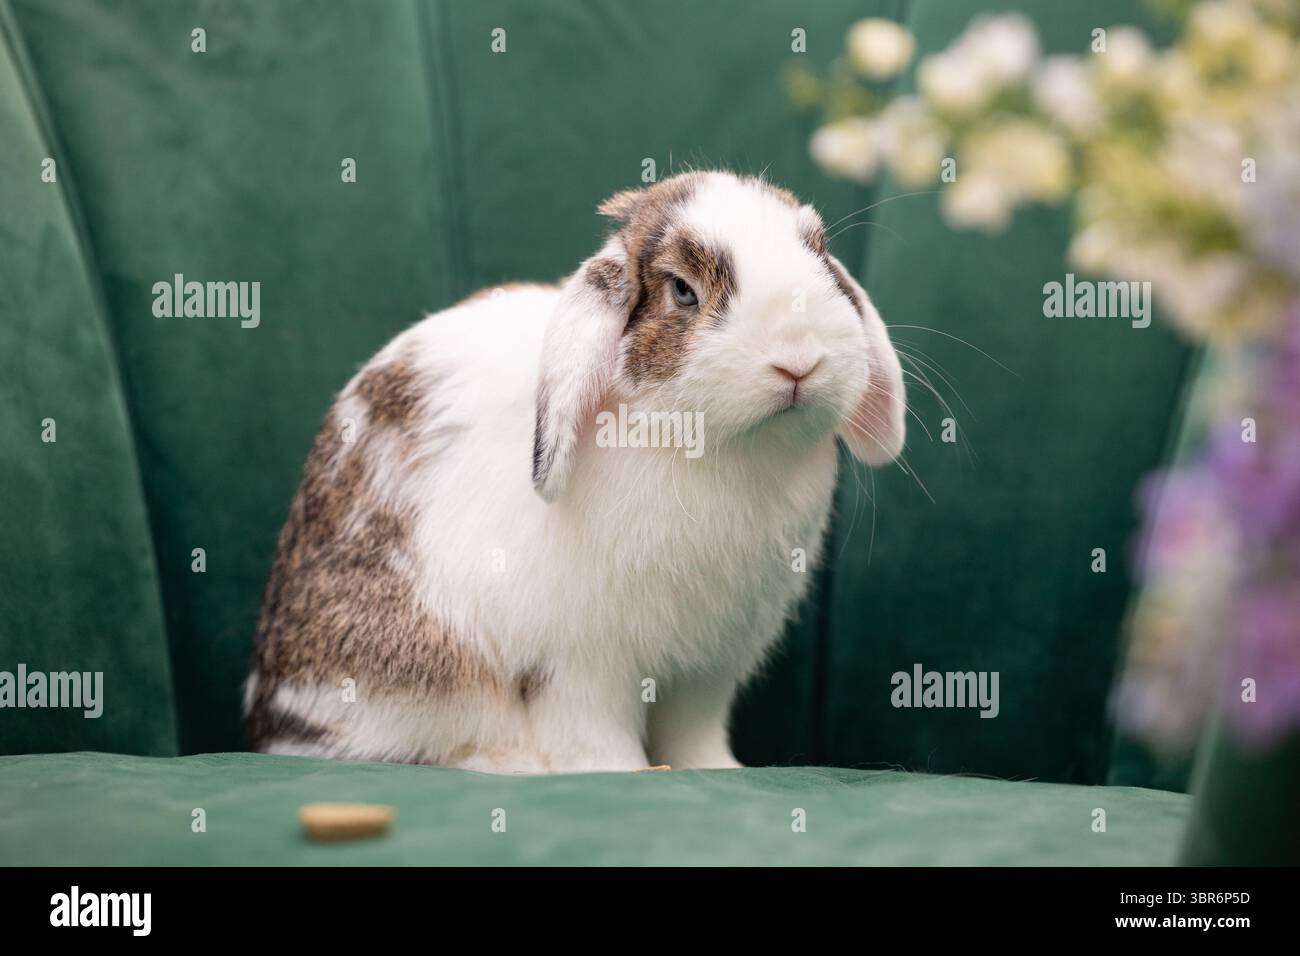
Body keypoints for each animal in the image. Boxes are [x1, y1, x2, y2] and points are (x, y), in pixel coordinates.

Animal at [244, 170, 905, 773]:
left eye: (821, 258)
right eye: (682, 291)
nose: (799, 360)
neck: (721, 450)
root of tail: (265, 718)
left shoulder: (708, 670)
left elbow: (693, 732)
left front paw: (720, 771)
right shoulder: (579, 666)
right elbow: (592, 732)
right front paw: (617, 774)